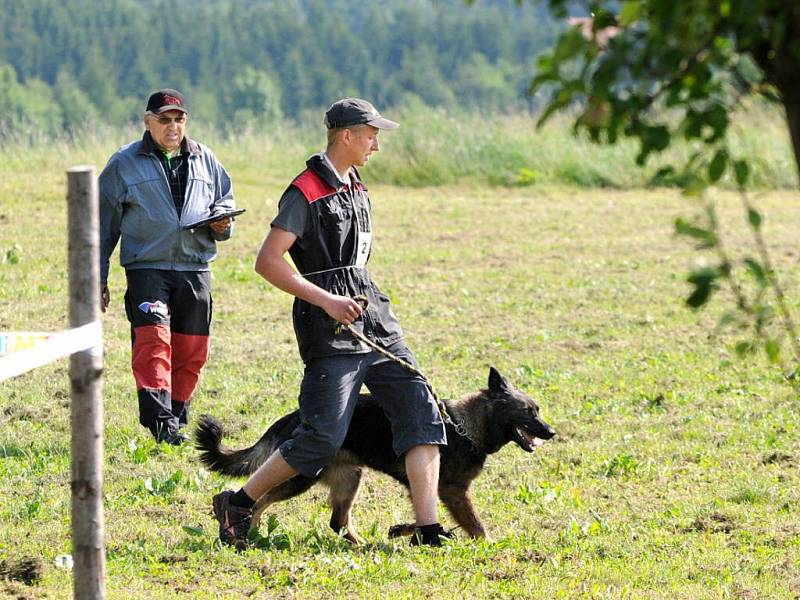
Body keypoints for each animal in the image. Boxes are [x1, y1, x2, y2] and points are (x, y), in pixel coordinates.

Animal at [197, 366, 552, 544]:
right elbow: (475, 525)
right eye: (528, 412)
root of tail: (295, 417)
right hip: (301, 477)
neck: (465, 426)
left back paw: (362, 545)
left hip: (349, 478)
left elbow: (424, 516)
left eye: (537, 410)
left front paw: (406, 531)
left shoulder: (430, 487)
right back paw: (245, 529)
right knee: (260, 499)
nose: (551, 433)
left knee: (337, 521)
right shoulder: (453, 492)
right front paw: (488, 544)